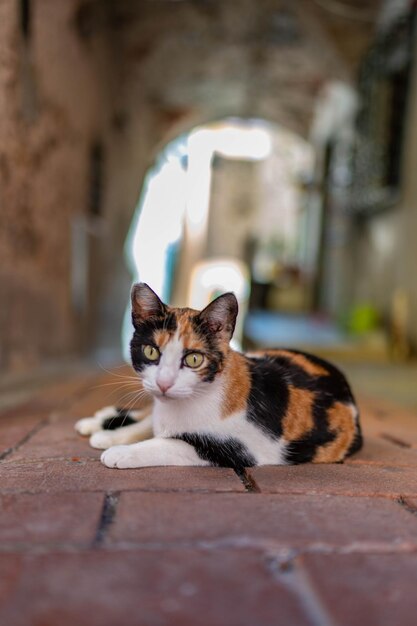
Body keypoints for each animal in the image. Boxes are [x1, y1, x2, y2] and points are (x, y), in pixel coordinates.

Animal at [75, 282, 360, 468]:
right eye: (151, 351)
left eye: (194, 359)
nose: (164, 383)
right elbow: (152, 425)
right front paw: (113, 436)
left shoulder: (240, 448)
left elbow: (168, 444)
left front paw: (120, 452)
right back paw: (99, 421)